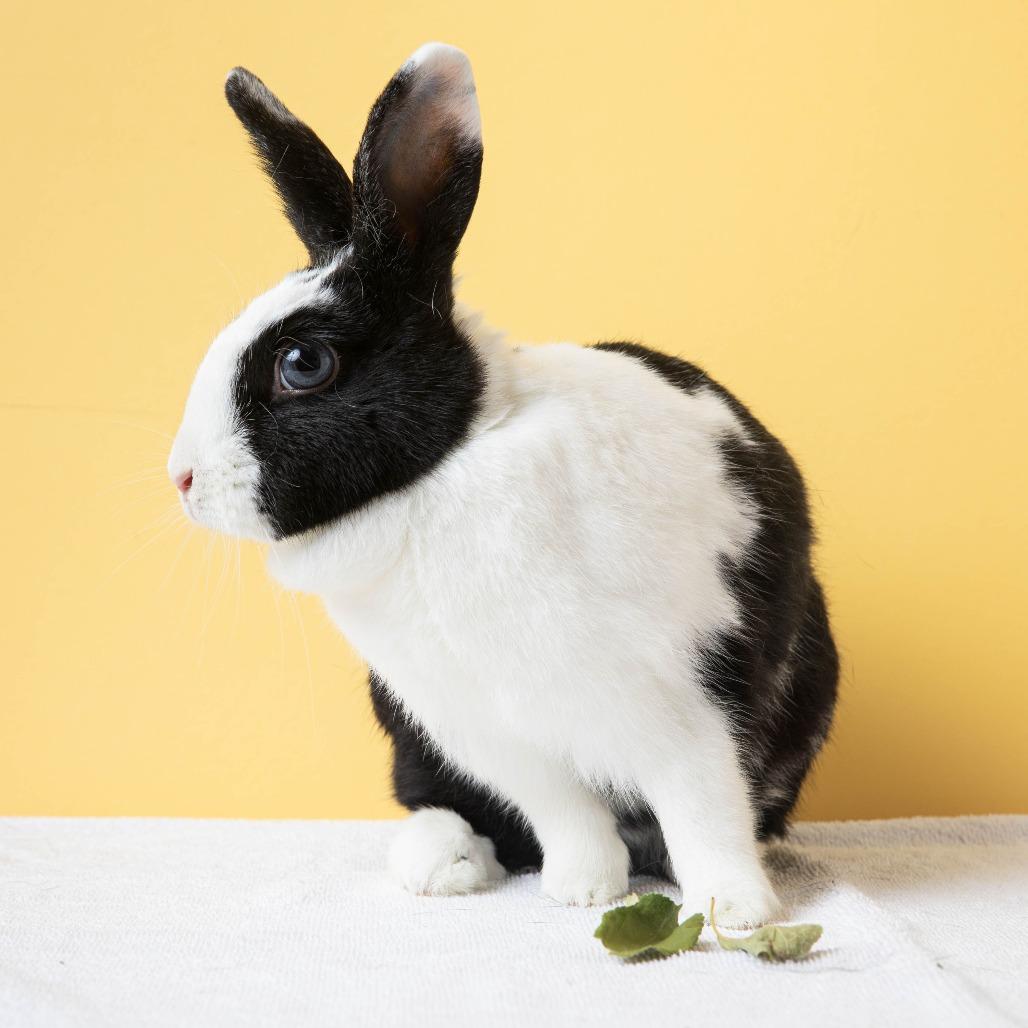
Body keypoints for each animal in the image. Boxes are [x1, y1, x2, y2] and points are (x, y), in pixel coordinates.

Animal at [169, 42, 839, 927]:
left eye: (303, 364)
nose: (180, 478)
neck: (439, 479)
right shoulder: (491, 732)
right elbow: (566, 818)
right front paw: (582, 891)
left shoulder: (685, 707)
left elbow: (704, 811)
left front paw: (735, 911)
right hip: (418, 743)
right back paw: (439, 862)